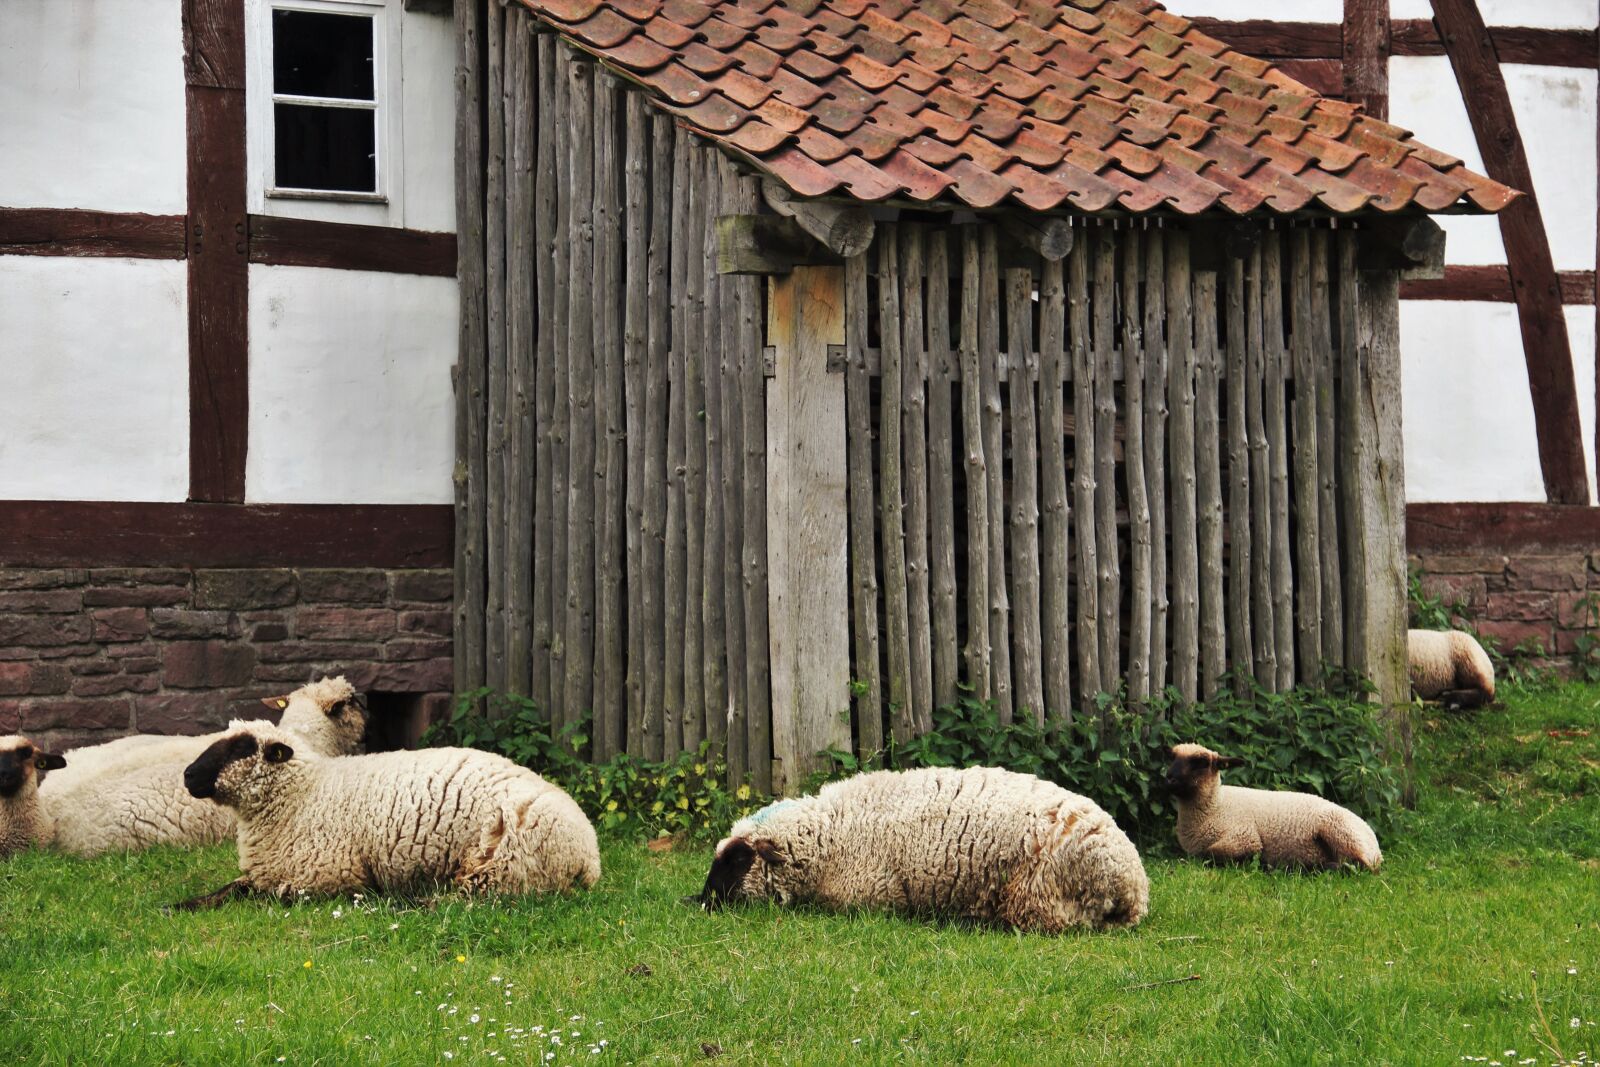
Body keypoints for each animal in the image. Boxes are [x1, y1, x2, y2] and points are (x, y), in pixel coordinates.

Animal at [174, 721, 600, 907]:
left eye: (241, 747)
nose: (188, 775)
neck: (303, 795)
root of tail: (590, 855)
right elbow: (231, 888)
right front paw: (179, 906)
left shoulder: (328, 876)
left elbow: (271, 894)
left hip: (499, 867)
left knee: (463, 901)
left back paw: (403, 902)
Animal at [697, 766, 1149, 934]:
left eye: (737, 860)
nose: (699, 901)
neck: (828, 831)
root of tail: (1133, 885)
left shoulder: (869, 895)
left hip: (1038, 897)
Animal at [1164, 743, 1382, 871]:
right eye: (1172, 757)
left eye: (1200, 762)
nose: (1169, 779)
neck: (1216, 807)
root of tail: (1375, 843)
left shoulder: (1244, 837)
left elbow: (1210, 854)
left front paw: (1258, 863)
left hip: (1339, 831)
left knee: (1359, 867)